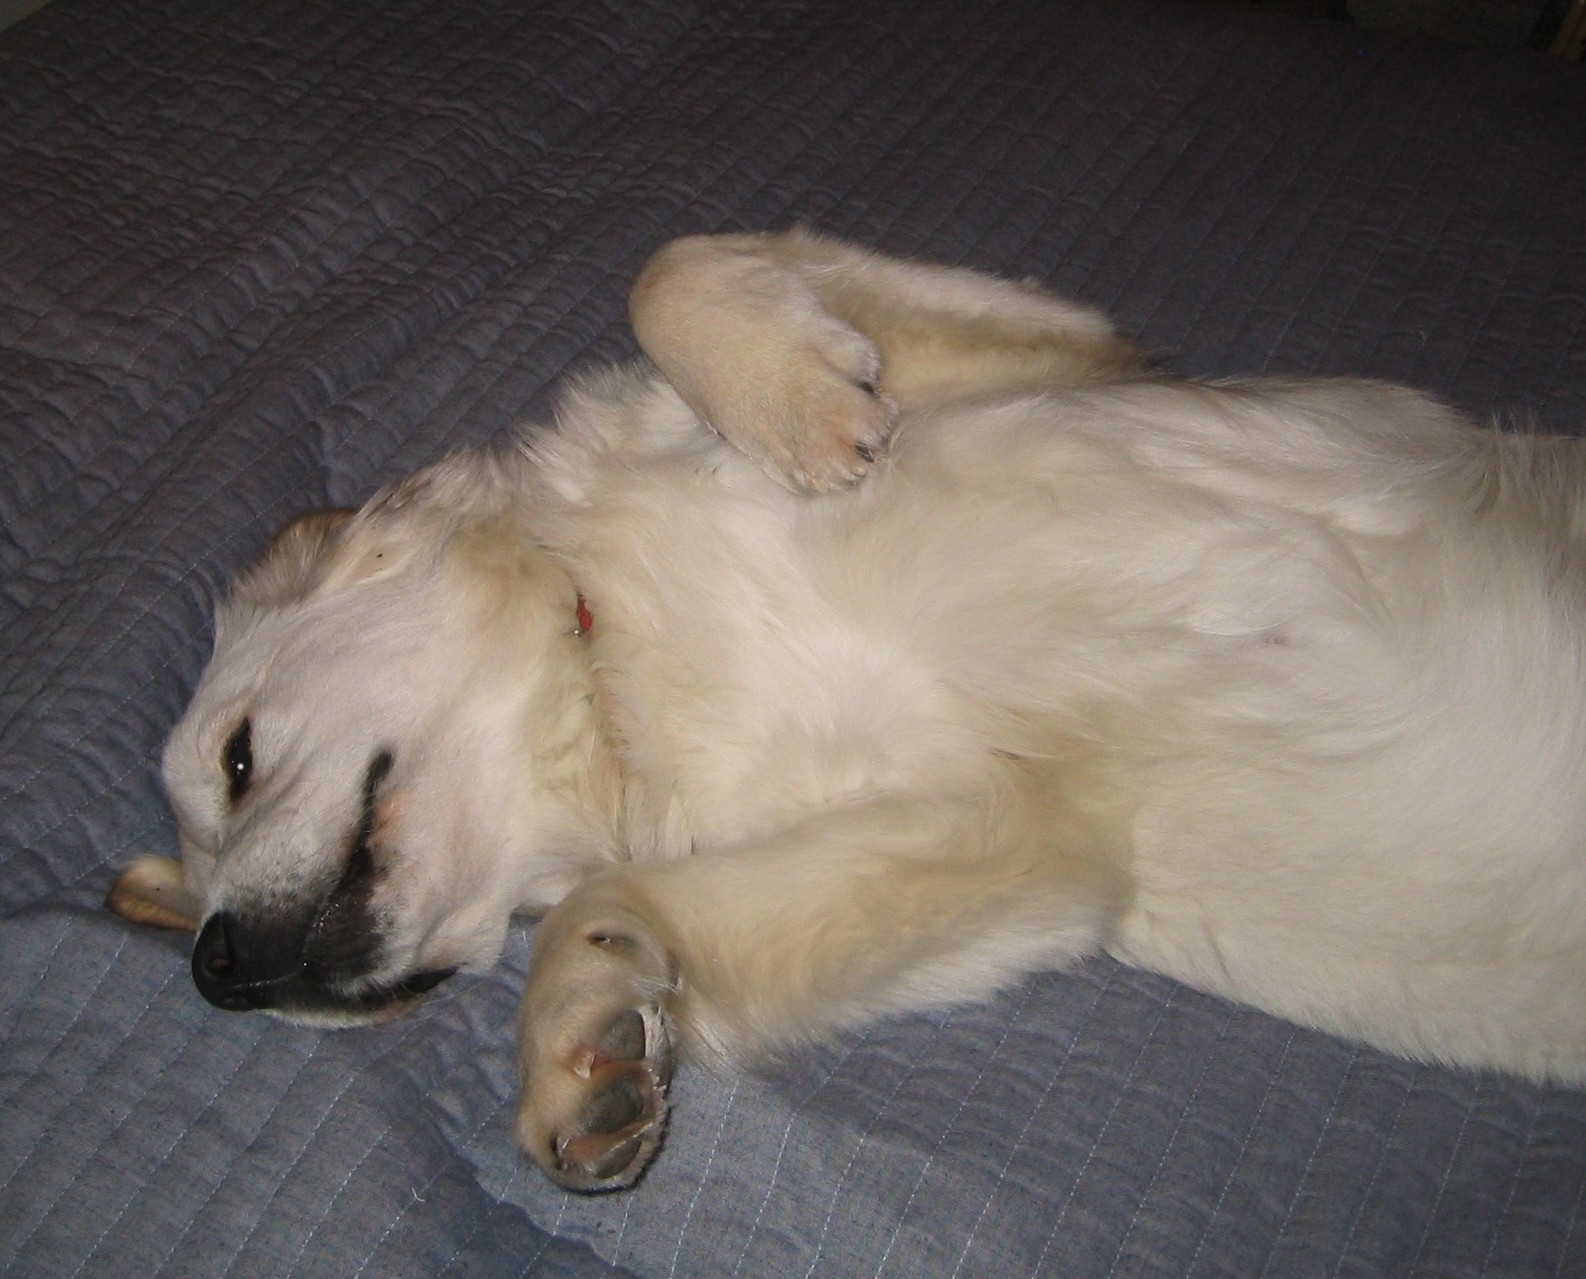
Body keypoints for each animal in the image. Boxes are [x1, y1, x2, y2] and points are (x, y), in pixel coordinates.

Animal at [110, 228, 1586, 1191]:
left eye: (235, 758)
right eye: (196, 896)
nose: (214, 965)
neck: (621, 653)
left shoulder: (1088, 357)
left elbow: (671, 268)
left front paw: (796, 403)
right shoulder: (1022, 840)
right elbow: (623, 904)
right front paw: (582, 1040)